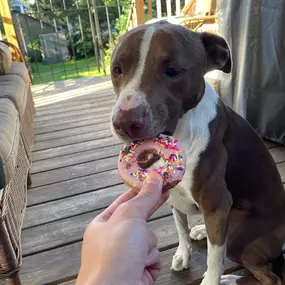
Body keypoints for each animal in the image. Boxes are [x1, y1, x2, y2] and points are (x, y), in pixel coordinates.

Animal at [108, 21, 284, 282]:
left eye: (173, 70)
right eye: (117, 70)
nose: (123, 123)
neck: (181, 134)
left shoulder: (217, 204)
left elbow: (214, 259)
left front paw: (212, 279)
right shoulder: (172, 194)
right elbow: (181, 228)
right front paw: (183, 255)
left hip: (238, 232)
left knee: (270, 278)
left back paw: (230, 279)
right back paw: (201, 231)